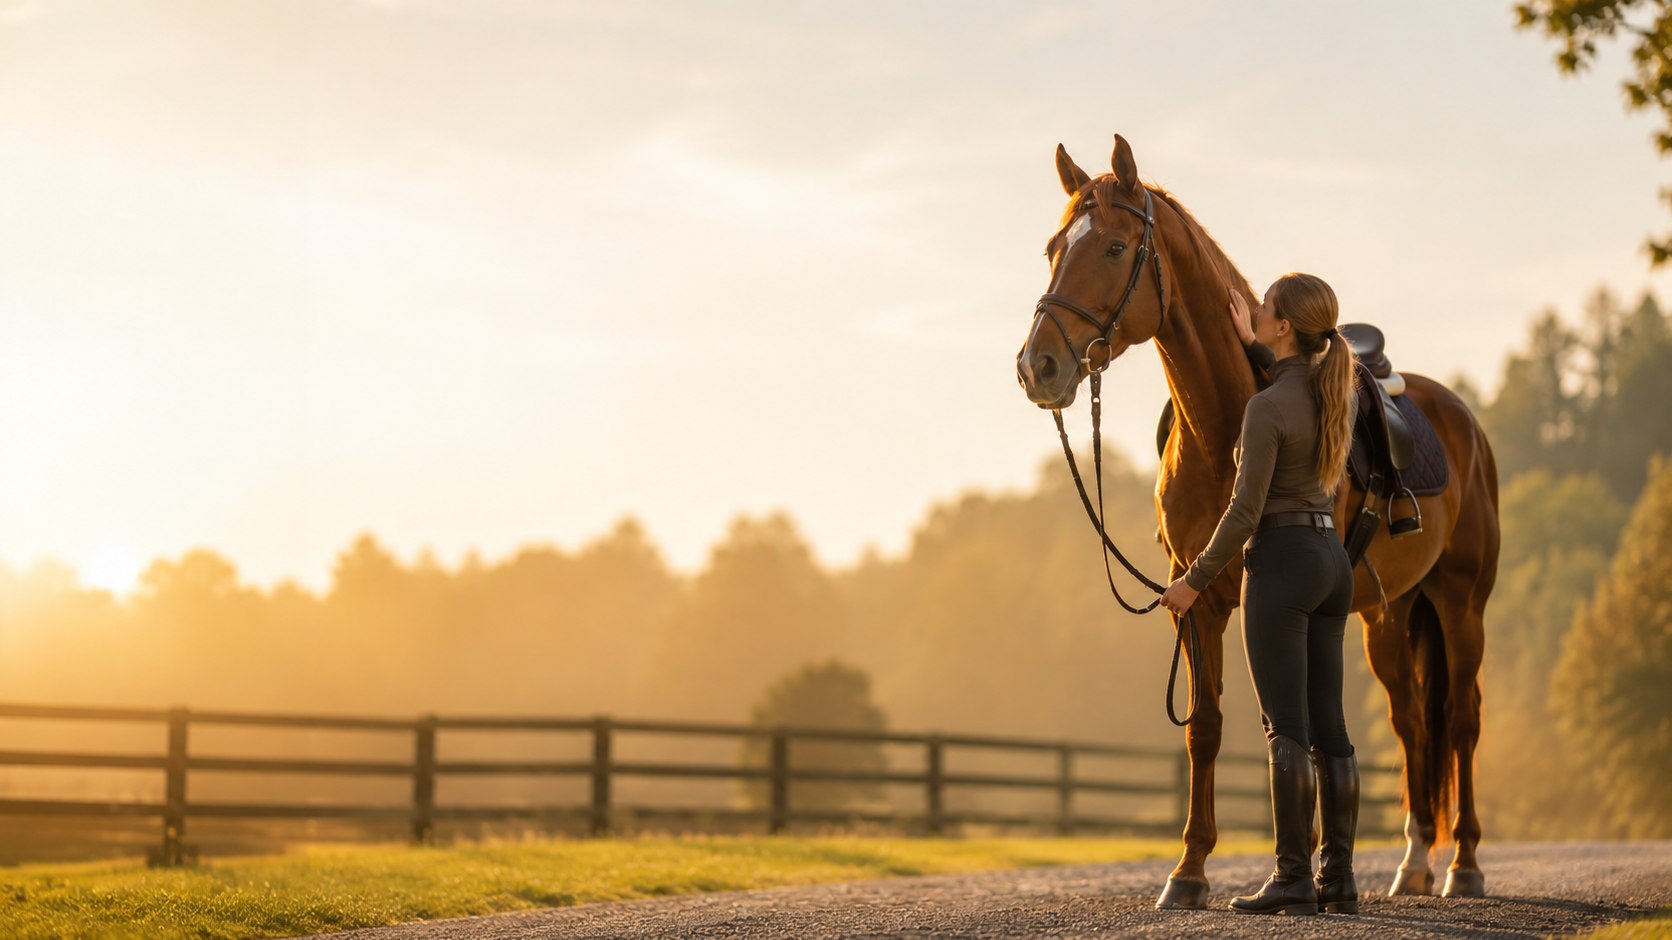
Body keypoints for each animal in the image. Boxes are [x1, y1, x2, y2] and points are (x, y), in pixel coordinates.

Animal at [1015, 135, 1499, 909]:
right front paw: (1188, 871)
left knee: (1461, 719)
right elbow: (1208, 729)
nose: (1039, 367)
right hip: (1385, 614)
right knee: (1411, 722)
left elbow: (1290, 729)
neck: (1226, 428)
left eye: (1115, 248)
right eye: (1054, 247)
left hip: (1461, 602)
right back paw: (1414, 861)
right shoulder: (1198, 597)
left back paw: (1465, 865)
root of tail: (1462, 419)